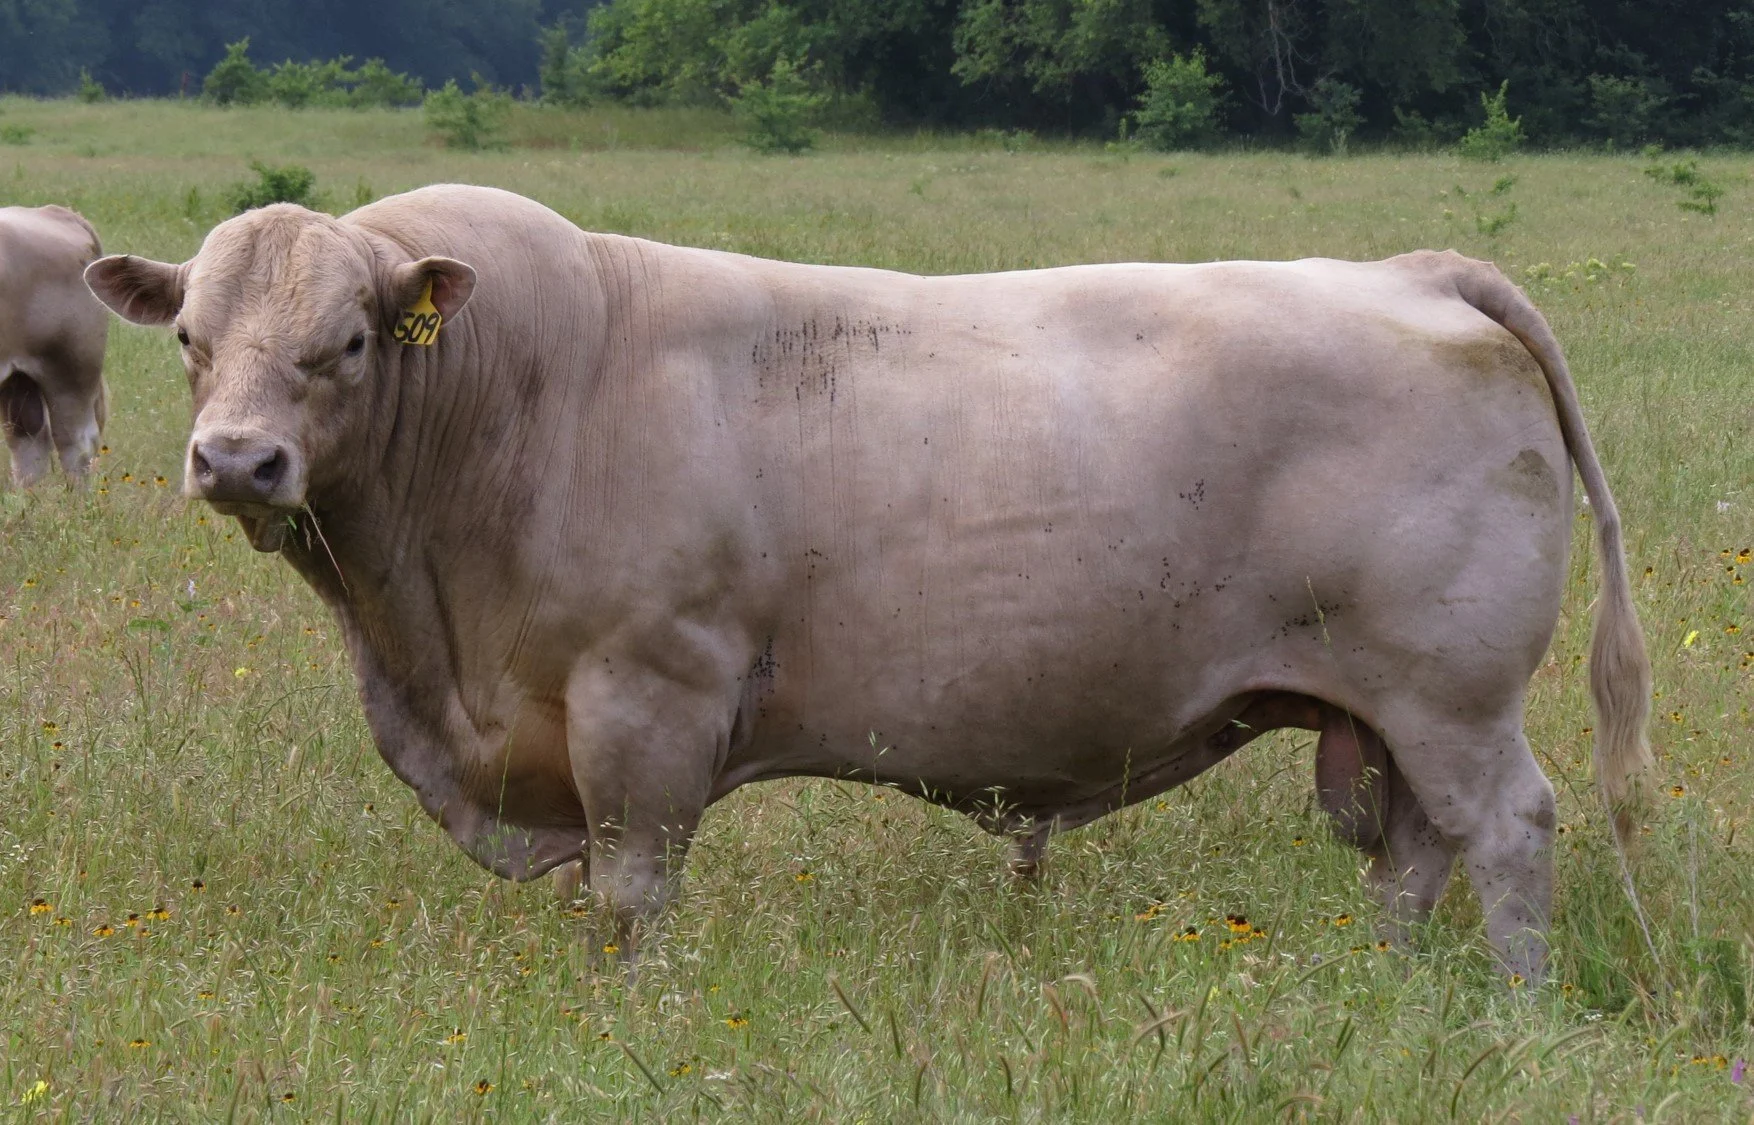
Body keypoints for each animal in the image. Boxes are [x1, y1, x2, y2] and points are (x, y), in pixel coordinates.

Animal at [84, 184, 1651, 983]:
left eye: (348, 341)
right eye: (190, 340)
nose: (237, 461)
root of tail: (1410, 268)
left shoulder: (646, 701)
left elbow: (631, 893)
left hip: (1450, 690)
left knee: (1504, 831)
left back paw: (1512, 1006)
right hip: (1387, 708)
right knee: (1415, 853)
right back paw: (1371, 983)